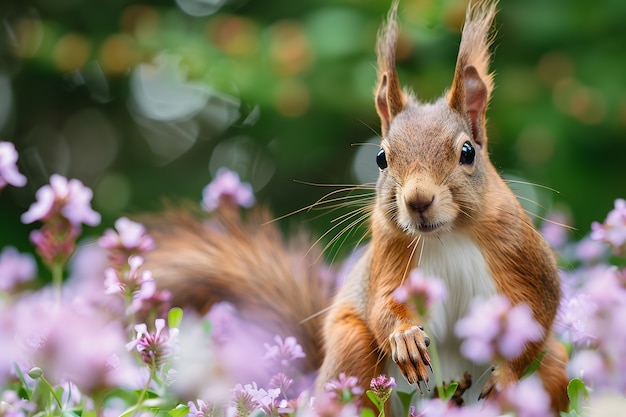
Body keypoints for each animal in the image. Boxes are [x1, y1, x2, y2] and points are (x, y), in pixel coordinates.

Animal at [140, 0, 564, 412]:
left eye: (467, 152)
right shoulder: (389, 248)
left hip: (556, 365)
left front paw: (506, 379)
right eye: (380, 158)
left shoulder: (517, 250)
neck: (447, 236)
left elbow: (538, 313)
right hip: (350, 347)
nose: (417, 200)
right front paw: (405, 337)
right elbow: (382, 305)